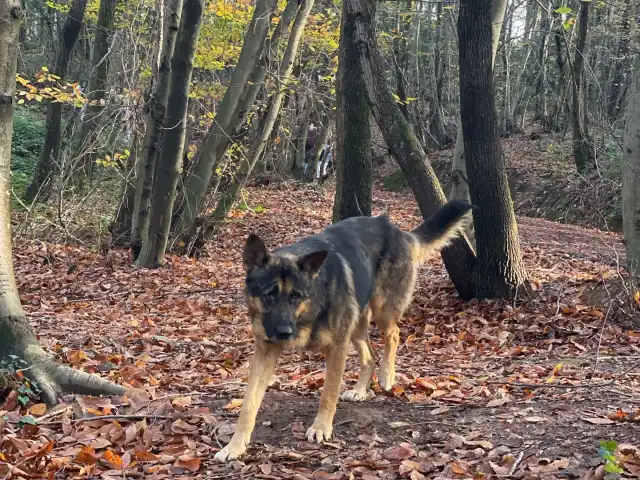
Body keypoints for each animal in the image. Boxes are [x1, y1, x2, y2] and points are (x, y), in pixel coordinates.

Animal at [216, 200, 476, 462]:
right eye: (269, 294)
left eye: (295, 296)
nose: (284, 332)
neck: (310, 307)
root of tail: (395, 230)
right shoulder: (265, 353)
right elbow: (248, 403)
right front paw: (234, 446)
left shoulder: (336, 348)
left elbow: (328, 393)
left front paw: (321, 427)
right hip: (356, 325)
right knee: (369, 356)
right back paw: (361, 389)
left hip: (381, 309)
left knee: (393, 334)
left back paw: (387, 374)